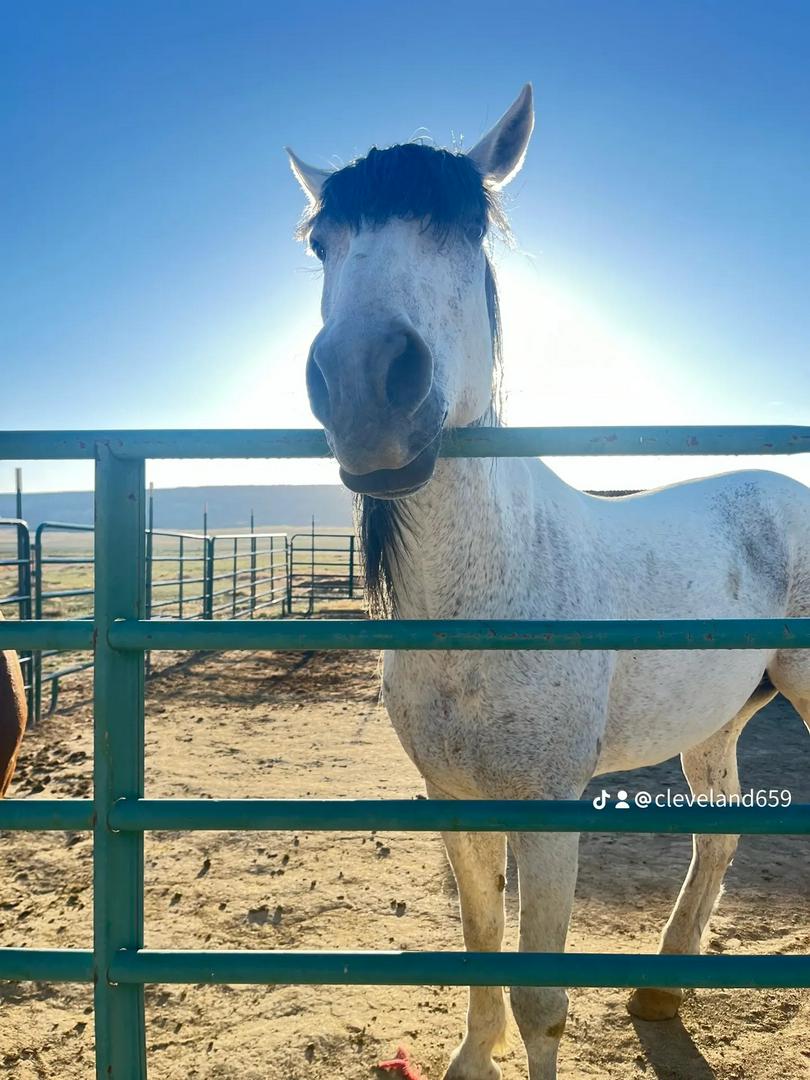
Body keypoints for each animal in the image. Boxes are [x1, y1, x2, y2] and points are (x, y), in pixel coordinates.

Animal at [287, 84, 810, 1079]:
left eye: (465, 228)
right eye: (320, 243)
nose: (367, 385)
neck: (486, 597)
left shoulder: (549, 811)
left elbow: (541, 996)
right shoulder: (454, 801)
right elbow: (479, 943)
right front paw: (471, 1054)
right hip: (714, 724)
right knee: (717, 834)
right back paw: (660, 988)